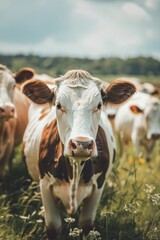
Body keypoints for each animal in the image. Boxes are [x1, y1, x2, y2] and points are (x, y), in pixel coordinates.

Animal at [21, 70, 136, 240]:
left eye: (99, 105)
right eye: (58, 105)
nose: (82, 144)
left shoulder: (99, 185)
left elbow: (86, 224)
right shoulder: (45, 184)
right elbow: (53, 226)